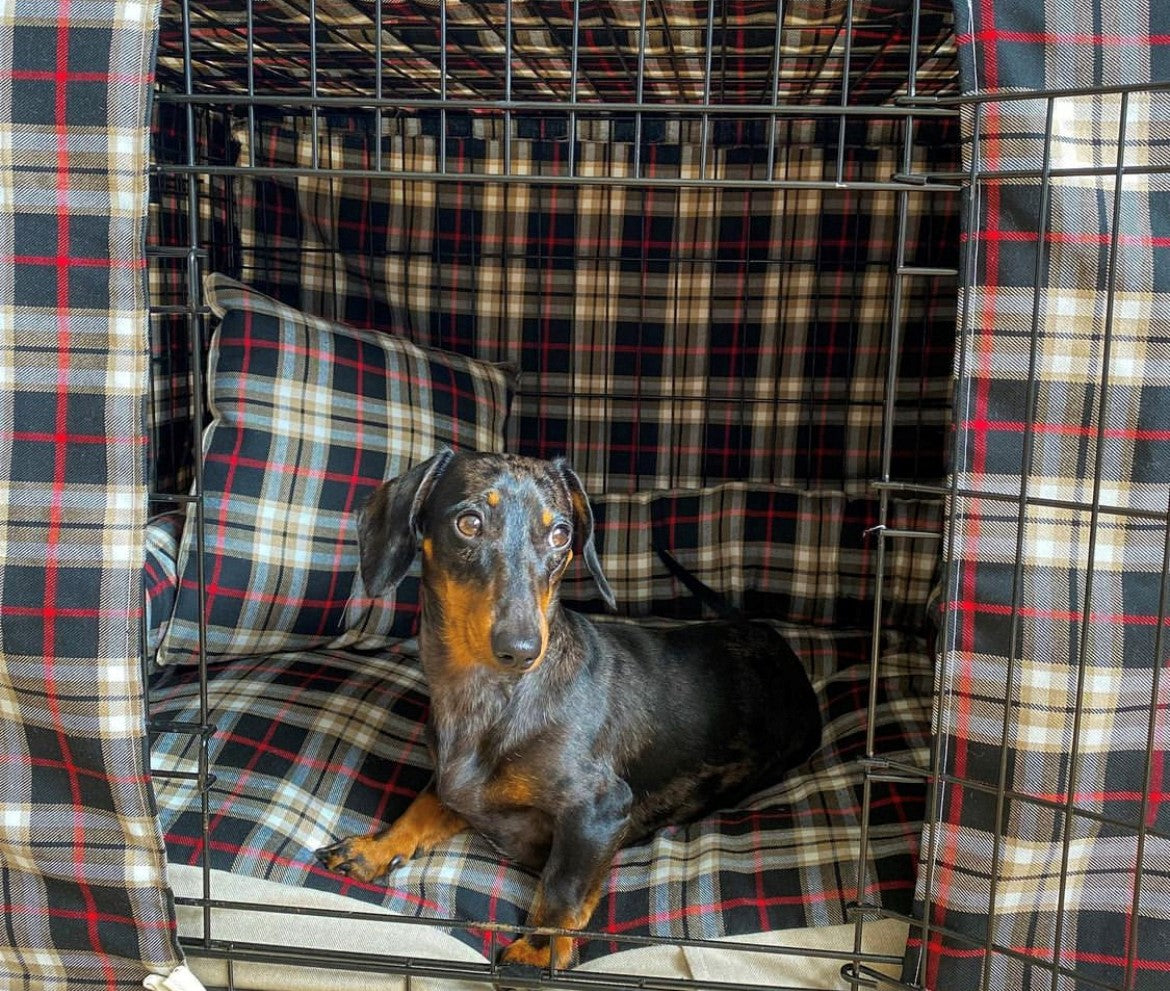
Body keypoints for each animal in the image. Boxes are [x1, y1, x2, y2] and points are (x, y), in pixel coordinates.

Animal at [315, 453, 819, 973]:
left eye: (560, 534)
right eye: (469, 523)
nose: (520, 648)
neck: (487, 697)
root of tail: (767, 636)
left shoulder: (599, 811)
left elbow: (563, 887)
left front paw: (535, 952)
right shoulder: (458, 787)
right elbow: (421, 806)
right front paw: (376, 849)